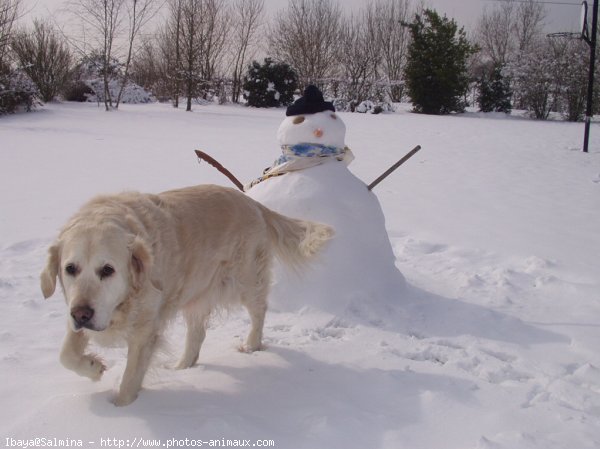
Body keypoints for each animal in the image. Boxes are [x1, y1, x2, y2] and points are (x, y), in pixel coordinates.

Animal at [40, 184, 336, 404]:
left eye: (108, 270)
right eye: (70, 268)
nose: (82, 314)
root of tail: (252, 203)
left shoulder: (145, 331)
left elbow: (130, 378)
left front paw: (122, 409)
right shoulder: (77, 315)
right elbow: (65, 354)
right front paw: (93, 367)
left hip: (246, 280)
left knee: (259, 311)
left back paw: (251, 345)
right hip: (196, 293)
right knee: (197, 335)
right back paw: (182, 367)